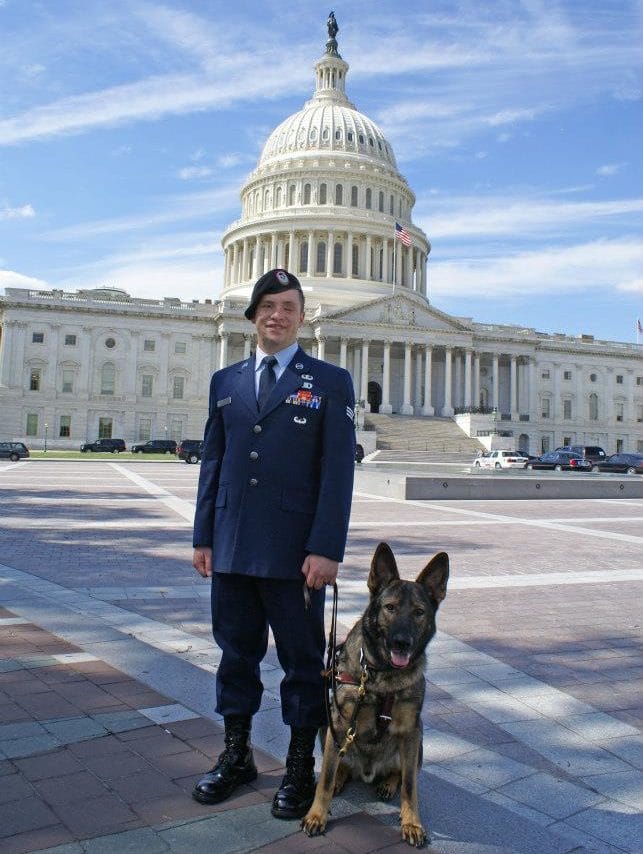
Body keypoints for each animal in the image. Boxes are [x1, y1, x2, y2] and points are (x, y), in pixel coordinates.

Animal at [300, 540, 448, 848]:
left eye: (419, 612)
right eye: (390, 608)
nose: (402, 643)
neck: (382, 677)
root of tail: (367, 772)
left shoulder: (411, 730)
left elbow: (410, 787)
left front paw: (412, 823)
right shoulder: (339, 724)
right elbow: (325, 779)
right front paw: (316, 815)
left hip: (418, 743)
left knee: (401, 773)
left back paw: (388, 783)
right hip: (326, 726)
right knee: (339, 764)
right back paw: (343, 776)